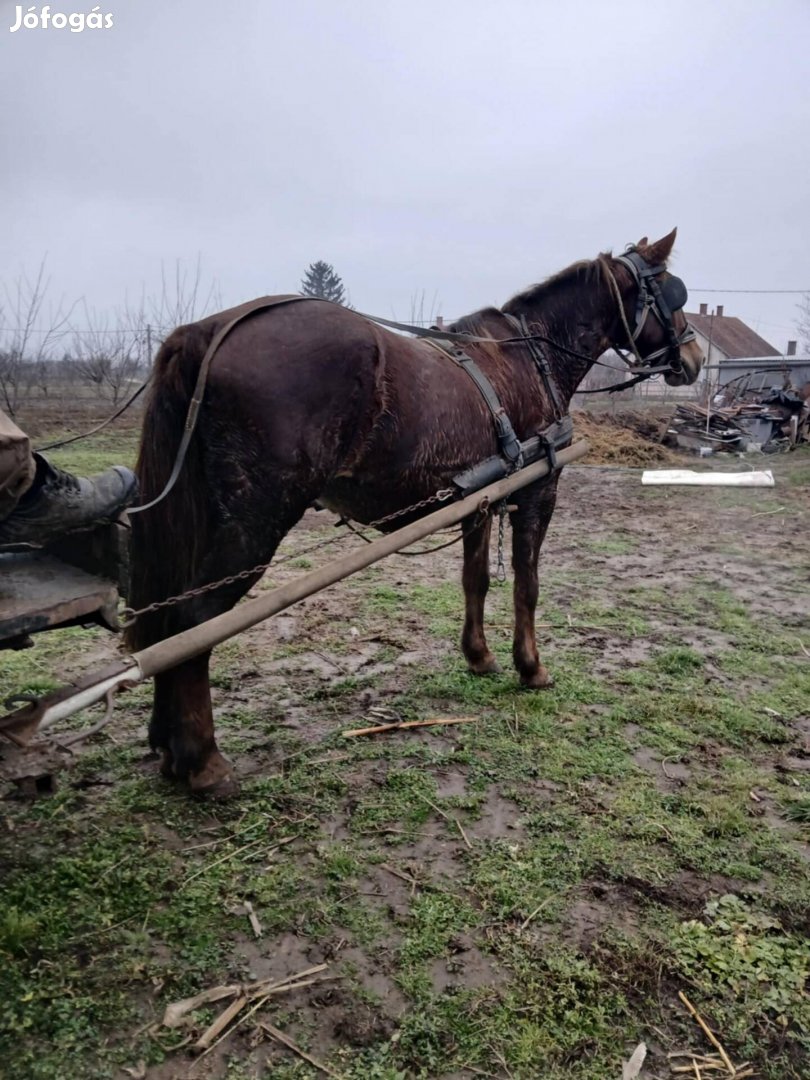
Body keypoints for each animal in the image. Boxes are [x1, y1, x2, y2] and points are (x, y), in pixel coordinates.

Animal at [126, 227, 704, 799]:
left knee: (166, 623)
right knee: (195, 622)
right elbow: (527, 586)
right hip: (251, 525)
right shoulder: (539, 491)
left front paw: (479, 656)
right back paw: (203, 760)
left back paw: (169, 745)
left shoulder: (480, 500)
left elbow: (476, 580)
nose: (695, 357)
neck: (531, 357)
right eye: (673, 292)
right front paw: (531, 667)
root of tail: (209, 331)